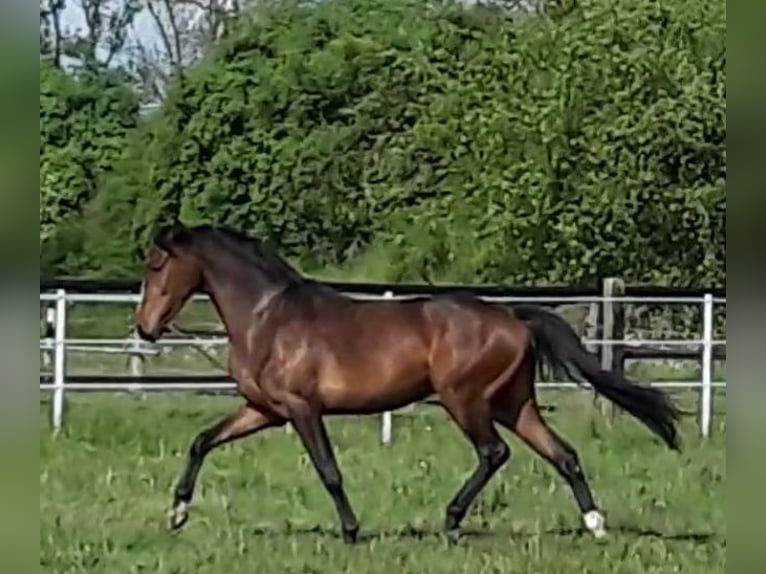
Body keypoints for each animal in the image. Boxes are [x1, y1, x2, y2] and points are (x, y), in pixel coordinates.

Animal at [135, 222, 681, 544]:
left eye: (157, 264)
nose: (145, 328)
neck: (267, 318)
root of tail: (512, 316)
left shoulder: (302, 408)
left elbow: (329, 471)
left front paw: (352, 531)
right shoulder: (265, 410)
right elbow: (202, 441)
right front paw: (177, 514)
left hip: (465, 400)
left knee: (494, 453)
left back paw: (452, 521)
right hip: (514, 404)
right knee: (562, 454)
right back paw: (596, 525)